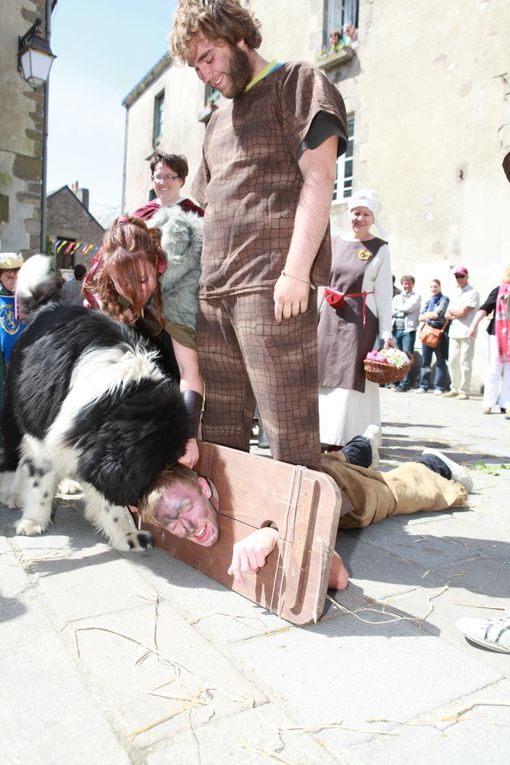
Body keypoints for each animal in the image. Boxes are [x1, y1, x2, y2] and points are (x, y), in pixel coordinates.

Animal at [0, 256, 188, 548]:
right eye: (158, 465)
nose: (146, 496)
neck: (120, 396)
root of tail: (45, 308)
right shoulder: (45, 436)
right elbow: (40, 484)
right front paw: (34, 521)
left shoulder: (87, 442)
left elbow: (107, 498)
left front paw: (127, 535)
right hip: (13, 410)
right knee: (11, 453)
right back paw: (11, 493)